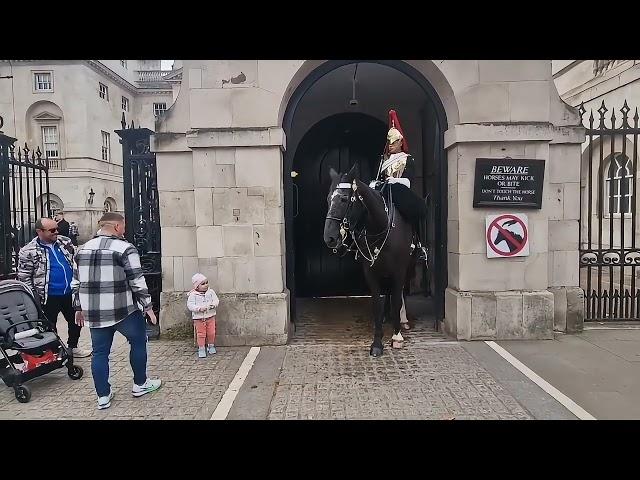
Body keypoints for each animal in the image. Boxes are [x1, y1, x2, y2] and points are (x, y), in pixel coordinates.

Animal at [322, 165, 418, 356]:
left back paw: (402, 320)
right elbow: (376, 304)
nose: (329, 238)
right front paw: (377, 342)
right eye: (329, 199)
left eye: (344, 199)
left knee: (400, 293)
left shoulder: (399, 271)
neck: (381, 227)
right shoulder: (371, 273)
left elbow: (397, 299)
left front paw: (396, 336)